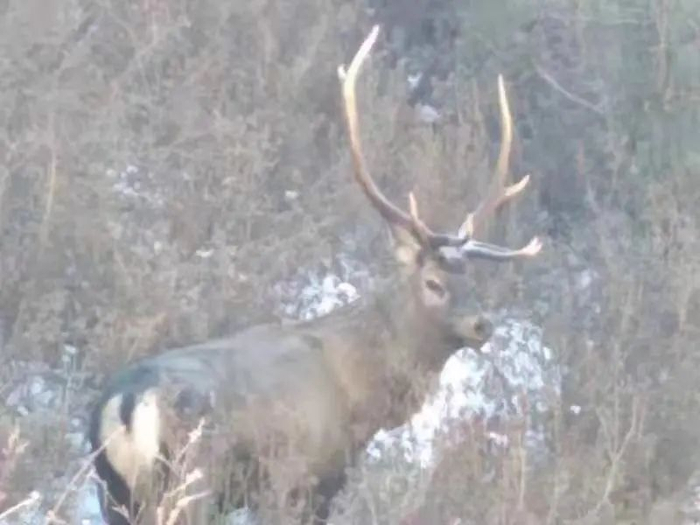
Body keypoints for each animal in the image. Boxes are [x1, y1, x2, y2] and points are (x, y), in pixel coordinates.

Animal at [88, 24, 542, 525]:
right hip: (191, 482)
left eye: (472, 281)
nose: (483, 325)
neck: (364, 395)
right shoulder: (300, 475)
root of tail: (126, 406)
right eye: (433, 283)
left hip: (113, 493)